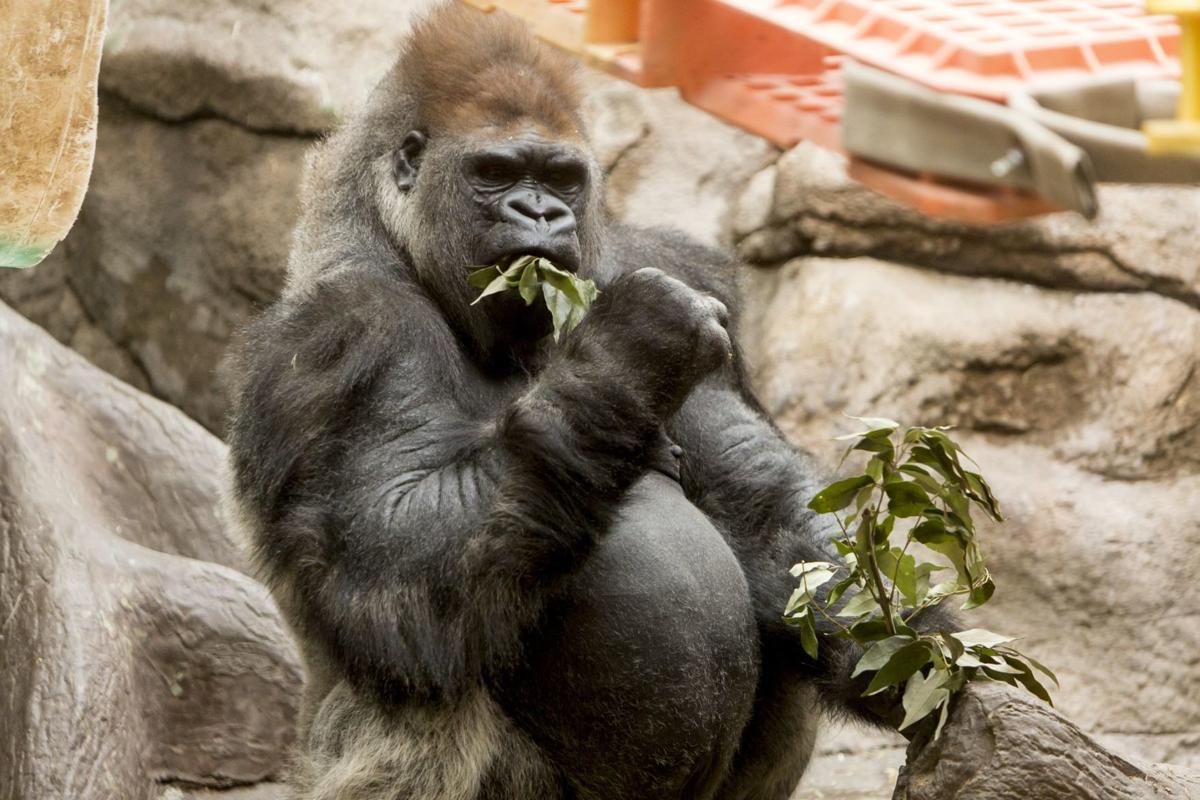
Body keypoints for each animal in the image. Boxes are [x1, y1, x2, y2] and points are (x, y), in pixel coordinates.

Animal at [225, 5, 952, 799]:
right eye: (495, 173)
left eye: (562, 178)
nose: (540, 211)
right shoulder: (345, 334)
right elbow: (395, 561)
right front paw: (634, 346)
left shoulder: (669, 267)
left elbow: (770, 517)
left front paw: (937, 667)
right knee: (418, 689)